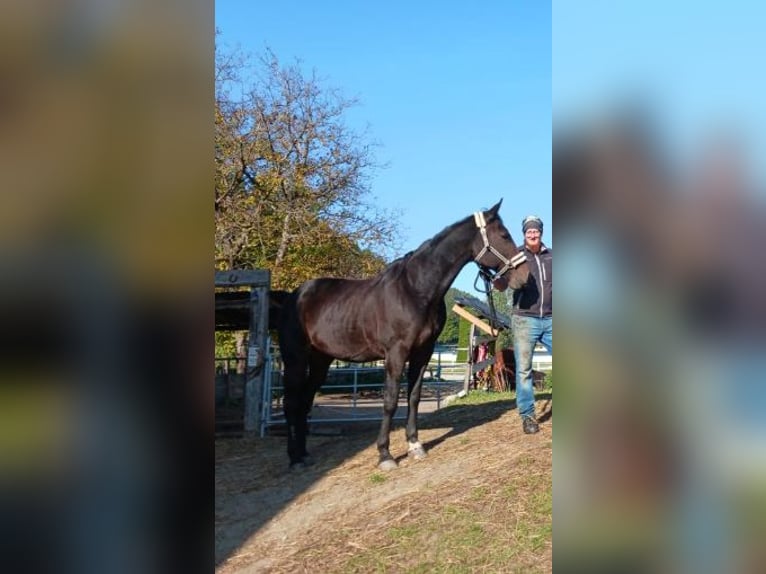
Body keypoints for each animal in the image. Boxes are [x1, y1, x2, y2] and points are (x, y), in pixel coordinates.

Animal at [276, 200, 530, 470]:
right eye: (504, 235)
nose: (524, 275)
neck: (415, 289)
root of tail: (294, 296)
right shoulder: (396, 354)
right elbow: (390, 401)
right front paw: (385, 455)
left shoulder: (423, 352)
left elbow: (414, 398)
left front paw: (415, 446)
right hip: (295, 359)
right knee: (292, 402)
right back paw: (294, 459)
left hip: (320, 360)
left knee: (305, 401)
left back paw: (304, 454)